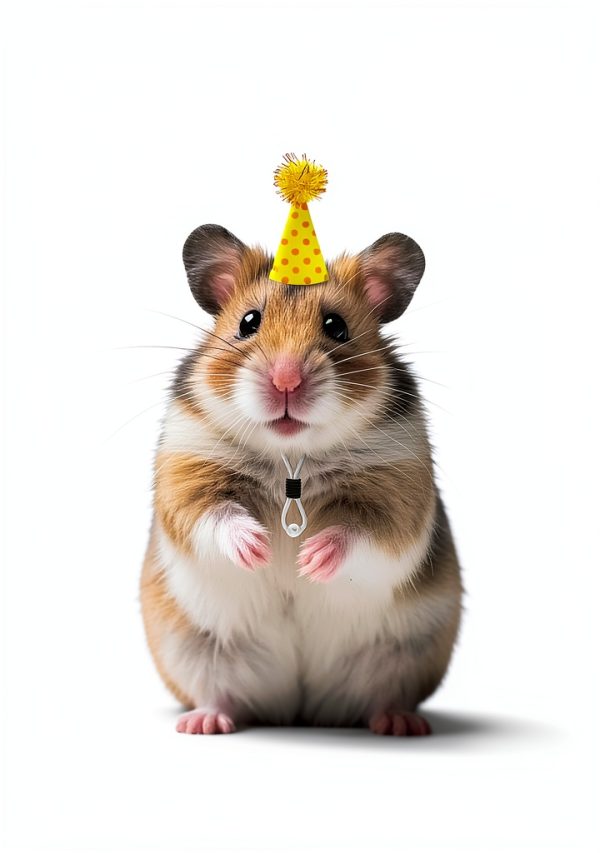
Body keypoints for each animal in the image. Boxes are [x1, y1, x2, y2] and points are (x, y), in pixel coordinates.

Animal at [140, 224, 463, 736]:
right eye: (248, 322)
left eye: (337, 327)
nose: (286, 381)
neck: (291, 455)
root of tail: (301, 706)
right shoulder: (185, 475)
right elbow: (214, 516)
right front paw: (261, 550)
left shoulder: (400, 492)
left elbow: (364, 531)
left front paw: (308, 561)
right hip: (189, 648)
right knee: (220, 694)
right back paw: (205, 723)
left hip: (409, 653)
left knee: (386, 694)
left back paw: (399, 724)